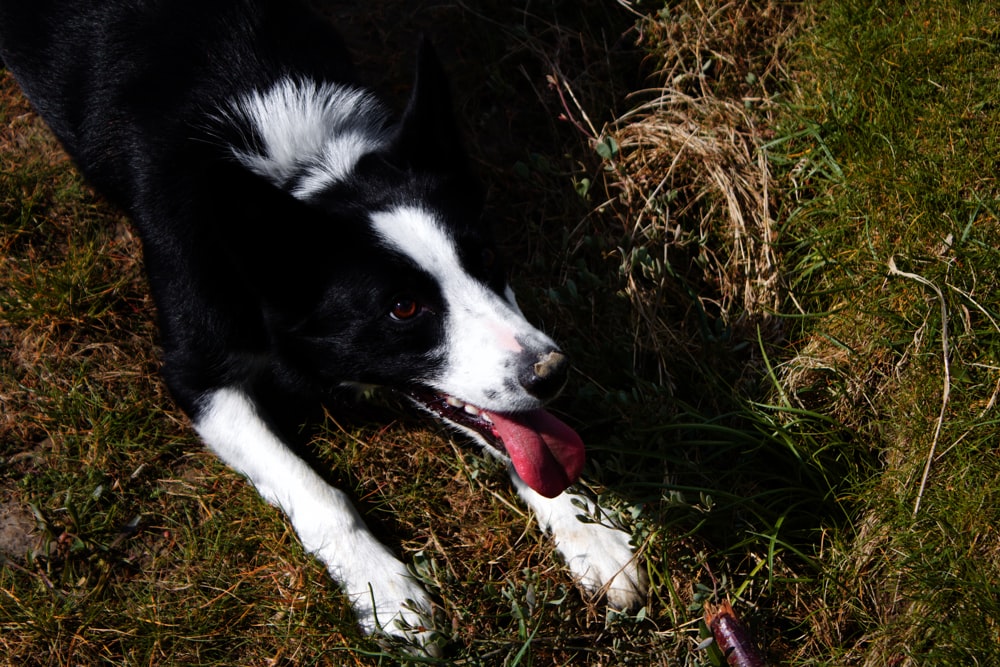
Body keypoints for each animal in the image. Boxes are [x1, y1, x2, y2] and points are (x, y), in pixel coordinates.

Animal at [0, 0, 644, 648]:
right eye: (403, 308)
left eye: (485, 257)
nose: (552, 373)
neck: (300, 173)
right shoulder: (195, 373)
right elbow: (316, 493)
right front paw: (386, 592)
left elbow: (519, 440)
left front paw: (589, 531)